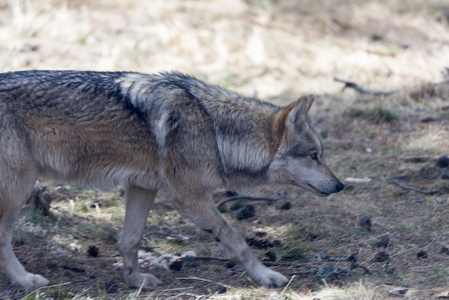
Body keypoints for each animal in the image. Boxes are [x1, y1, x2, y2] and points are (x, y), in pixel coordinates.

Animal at [0, 70, 344, 288]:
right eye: (313, 156)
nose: (340, 185)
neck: (215, 130)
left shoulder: (141, 187)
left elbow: (130, 240)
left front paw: (134, 280)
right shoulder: (189, 198)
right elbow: (235, 239)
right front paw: (265, 275)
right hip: (19, 188)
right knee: (4, 239)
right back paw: (24, 280)